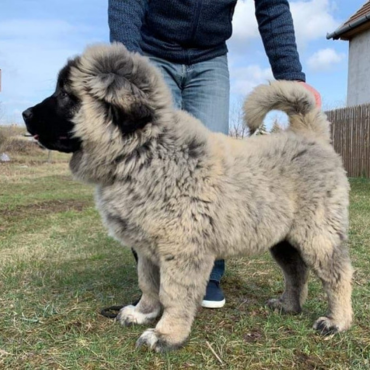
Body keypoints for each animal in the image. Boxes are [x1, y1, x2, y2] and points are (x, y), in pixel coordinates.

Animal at [22, 43, 352, 352]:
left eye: (66, 95)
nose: (25, 114)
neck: (145, 151)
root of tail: (309, 135)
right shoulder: (147, 248)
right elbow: (148, 283)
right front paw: (143, 312)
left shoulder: (181, 250)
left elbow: (173, 294)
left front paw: (167, 334)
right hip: (282, 238)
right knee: (296, 271)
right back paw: (289, 305)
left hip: (317, 234)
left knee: (337, 275)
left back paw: (337, 321)